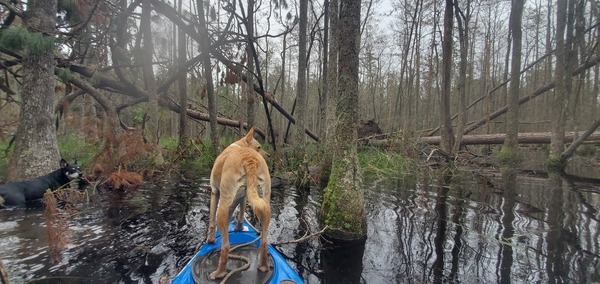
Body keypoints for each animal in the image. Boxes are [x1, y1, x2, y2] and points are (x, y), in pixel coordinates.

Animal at [206, 128, 272, 280]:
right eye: (259, 147)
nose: (268, 155)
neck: (240, 146)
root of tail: (249, 159)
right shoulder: (242, 199)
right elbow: (241, 214)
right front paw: (239, 227)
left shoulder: (215, 193)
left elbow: (211, 221)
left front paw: (210, 239)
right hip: (265, 205)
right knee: (264, 242)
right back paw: (264, 266)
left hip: (222, 208)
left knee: (225, 246)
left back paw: (218, 273)